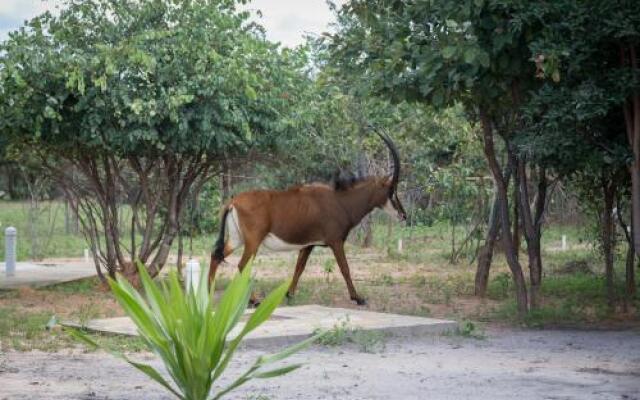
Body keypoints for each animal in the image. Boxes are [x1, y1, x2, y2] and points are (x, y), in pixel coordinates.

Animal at [212, 130, 408, 304]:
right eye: (391, 190)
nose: (403, 215)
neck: (340, 201)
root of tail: (233, 202)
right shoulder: (336, 241)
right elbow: (345, 268)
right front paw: (358, 298)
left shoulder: (309, 245)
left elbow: (299, 267)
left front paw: (289, 295)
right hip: (253, 241)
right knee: (242, 265)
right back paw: (253, 300)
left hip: (237, 239)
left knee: (217, 255)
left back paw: (208, 291)